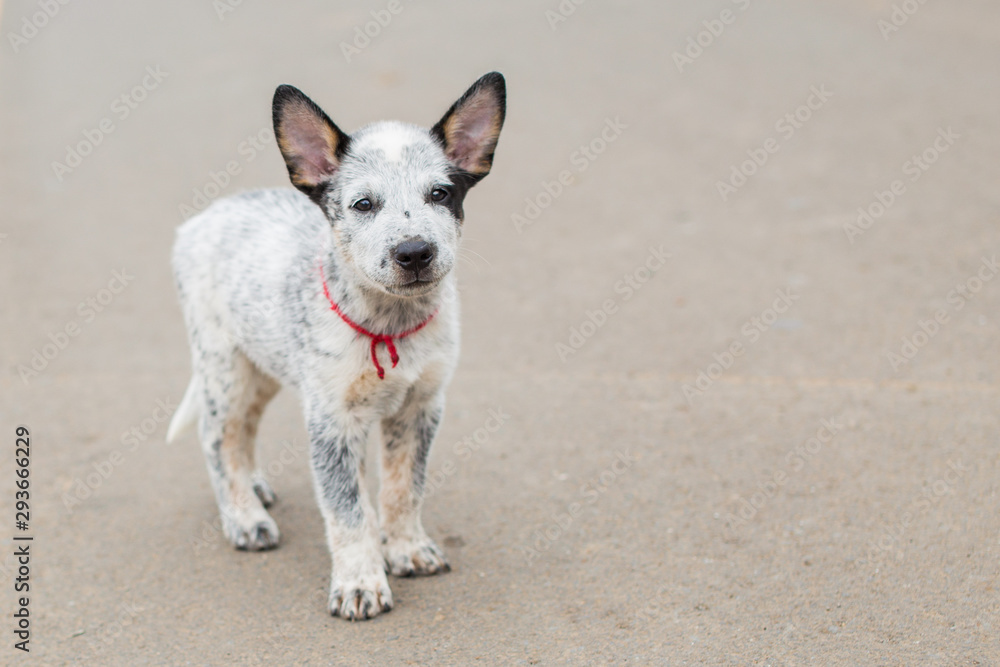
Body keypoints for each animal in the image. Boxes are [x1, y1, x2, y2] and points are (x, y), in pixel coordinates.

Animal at [169, 73, 508, 620]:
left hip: (263, 364)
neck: (389, 326)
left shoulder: (421, 406)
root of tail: (206, 215)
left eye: (440, 194)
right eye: (363, 204)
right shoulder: (331, 419)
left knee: (245, 430)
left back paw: (256, 489)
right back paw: (244, 516)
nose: (414, 252)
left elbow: (403, 489)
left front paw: (406, 548)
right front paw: (360, 582)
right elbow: (346, 510)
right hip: (223, 365)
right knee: (218, 436)